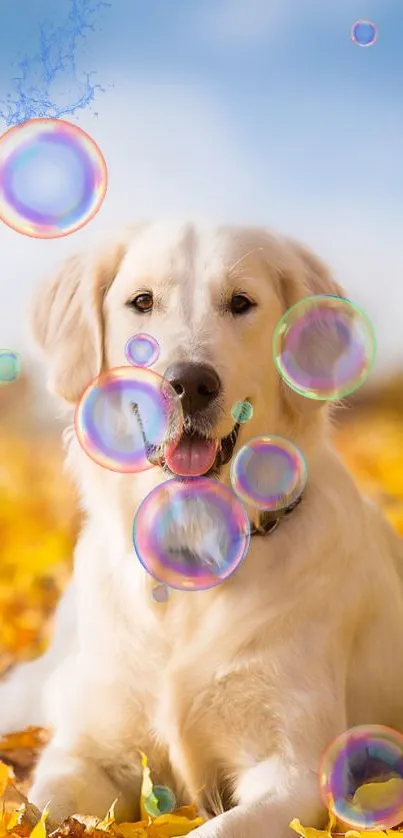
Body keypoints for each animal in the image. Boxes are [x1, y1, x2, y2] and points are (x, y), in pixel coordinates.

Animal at [0, 225, 403, 838]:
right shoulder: (89, 753)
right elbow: (39, 807)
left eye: (241, 303)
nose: (190, 383)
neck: (193, 544)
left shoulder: (293, 771)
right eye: (142, 301)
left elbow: (214, 829)